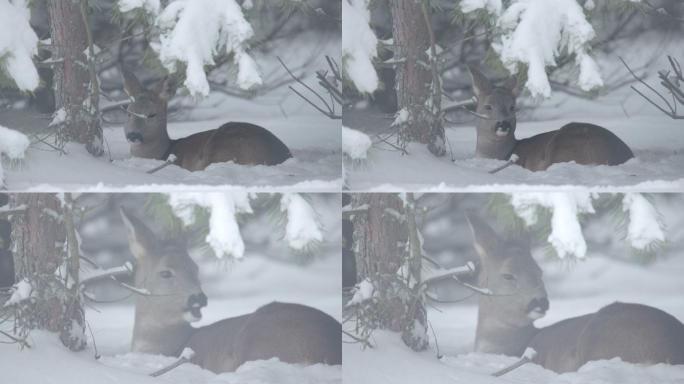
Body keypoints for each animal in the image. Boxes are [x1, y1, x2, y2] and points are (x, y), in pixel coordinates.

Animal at [120, 67, 292, 171]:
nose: (133, 135)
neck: (165, 151)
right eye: (128, 112)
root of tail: (283, 156)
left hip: (223, 145)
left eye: (152, 114)